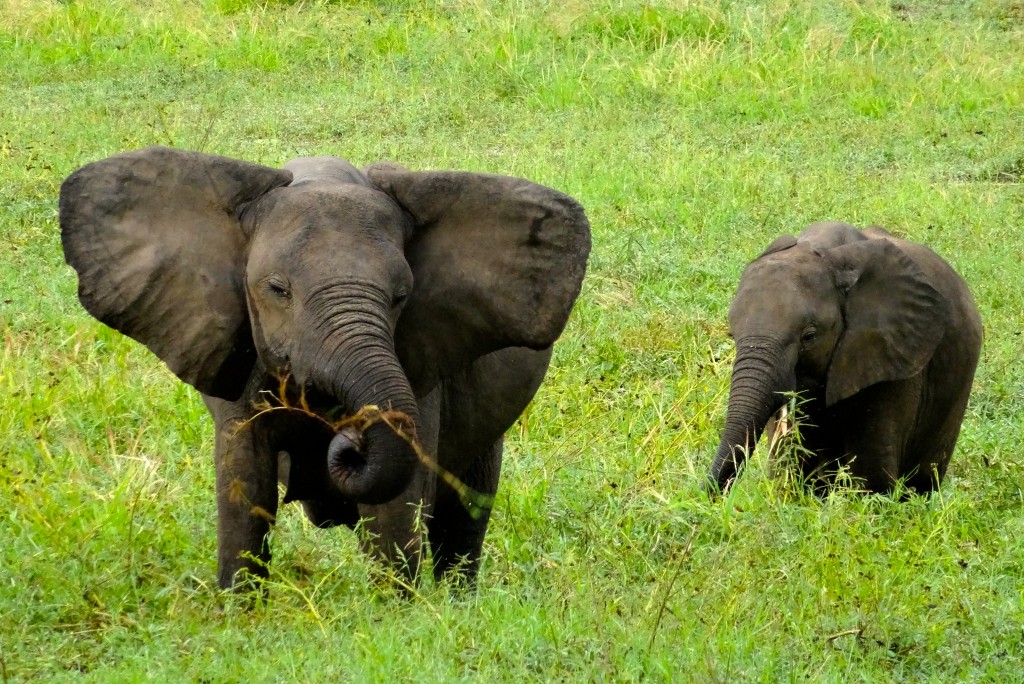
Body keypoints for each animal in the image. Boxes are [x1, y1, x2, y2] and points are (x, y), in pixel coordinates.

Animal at [59, 147, 593, 589]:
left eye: (401, 296)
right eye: (277, 290)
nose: (347, 440)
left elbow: (396, 506)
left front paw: (396, 619)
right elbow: (244, 488)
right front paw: (238, 614)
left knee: (464, 509)